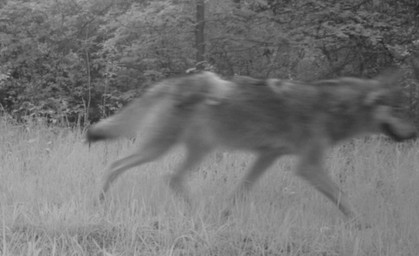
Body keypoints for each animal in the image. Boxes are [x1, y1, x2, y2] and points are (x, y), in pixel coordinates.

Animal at [86, 69, 416, 224]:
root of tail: (172, 82)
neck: (333, 108)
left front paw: (223, 217)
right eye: (398, 110)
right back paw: (97, 204)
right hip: (160, 149)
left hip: (196, 150)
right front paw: (363, 225)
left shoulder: (267, 155)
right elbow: (342, 196)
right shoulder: (307, 166)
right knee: (115, 165)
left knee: (172, 178)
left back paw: (197, 213)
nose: (414, 133)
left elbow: (241, 190)